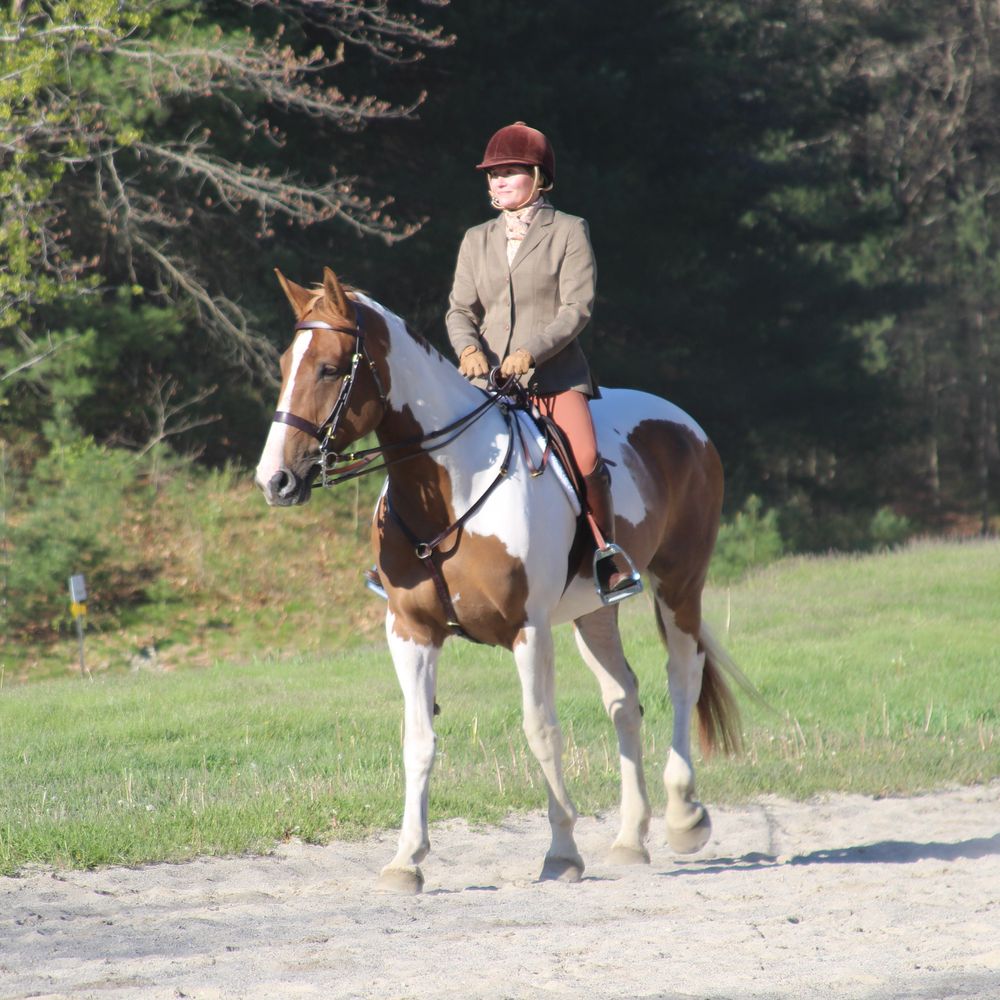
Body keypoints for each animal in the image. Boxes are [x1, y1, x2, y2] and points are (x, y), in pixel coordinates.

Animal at [254, 266, 748, 892]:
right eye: (284, 363)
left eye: (329, 367)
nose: (274, 479)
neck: (450, 489)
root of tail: (683, 422)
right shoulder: (410, 632)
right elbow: (418, 739)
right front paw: (406, 859)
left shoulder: (528, 630)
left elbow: (542, 731)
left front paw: (562, 853)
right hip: (595, 611)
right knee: (623, 700)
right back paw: (630, 839)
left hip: (680, 583)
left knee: (682, 678)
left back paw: (685, 817)